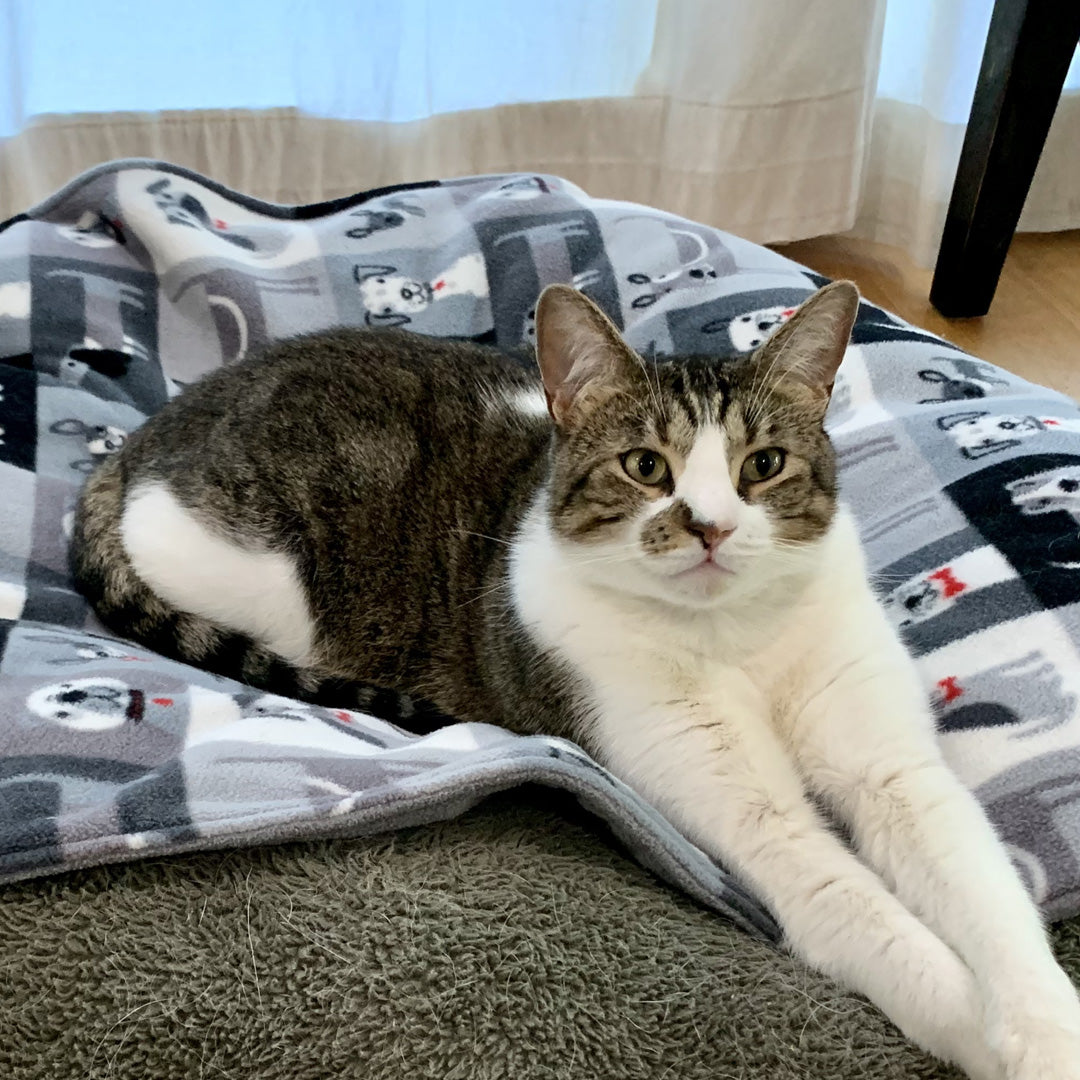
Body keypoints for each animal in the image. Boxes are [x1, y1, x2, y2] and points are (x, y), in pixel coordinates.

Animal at [71, 282, 1080, 1075]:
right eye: (645, 467)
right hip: (257, 579)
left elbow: (988, 897)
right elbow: (867, 919)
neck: (735, 634)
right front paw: (989, 1038)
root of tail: (142, 436)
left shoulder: (896, 774)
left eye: (763, 466)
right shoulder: (754, 819)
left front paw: (1042, 1029)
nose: (711, 526)